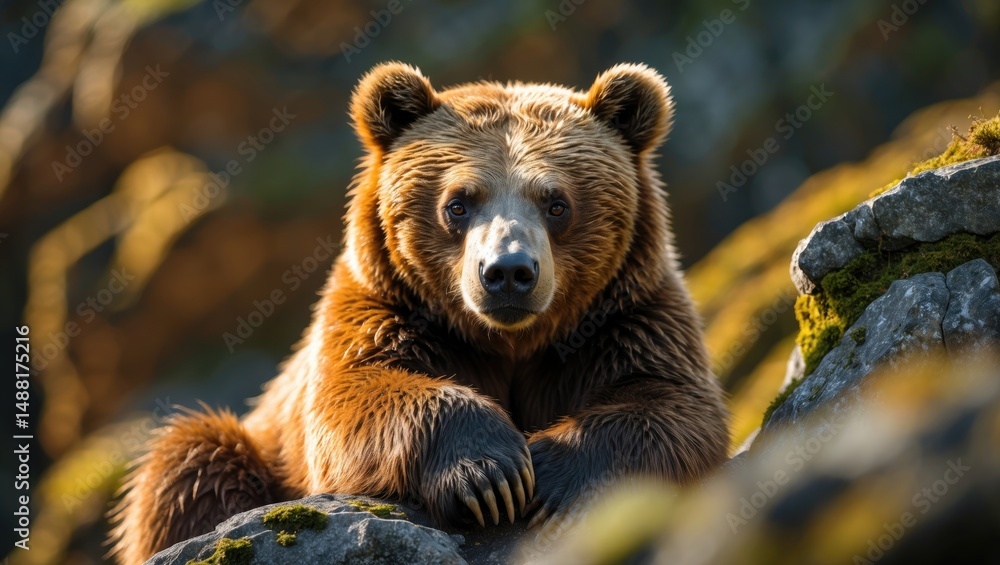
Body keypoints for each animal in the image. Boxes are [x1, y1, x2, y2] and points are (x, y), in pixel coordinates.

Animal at [109, 62, 730, 564]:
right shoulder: (383, 311)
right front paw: (492, 471)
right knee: (188, 465)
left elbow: (673, 408)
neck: (511, 342)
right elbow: (352, 400)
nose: (508, 272)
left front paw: (553, 476)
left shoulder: (627, 317)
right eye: (458, 203)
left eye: (557, 203)